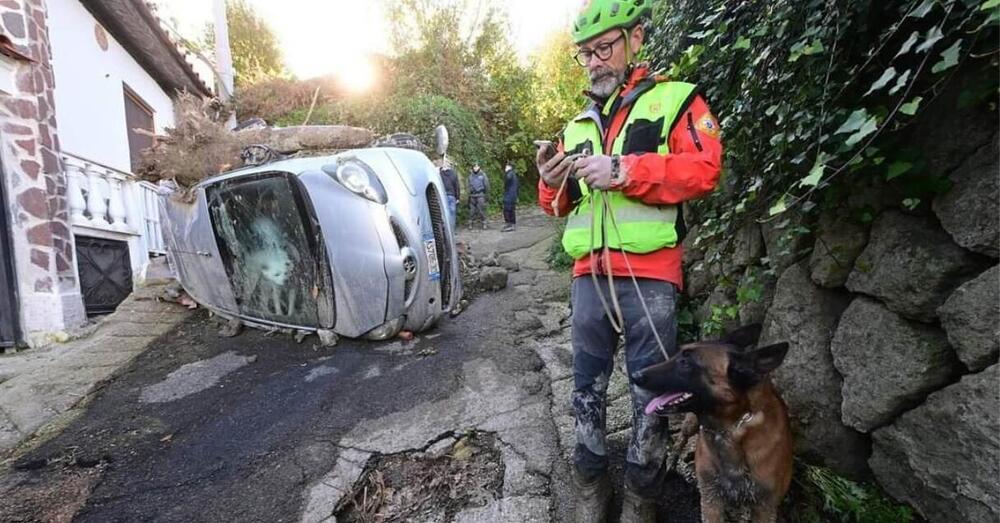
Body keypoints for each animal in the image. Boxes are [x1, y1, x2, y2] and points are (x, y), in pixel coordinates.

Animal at [632, 326, 796, 520]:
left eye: (686, 362)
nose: (634, 375)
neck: (732, 431)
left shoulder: (765, 508)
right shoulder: (710, 500)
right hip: (691, 424)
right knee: (681, 438)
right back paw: (672, 463)